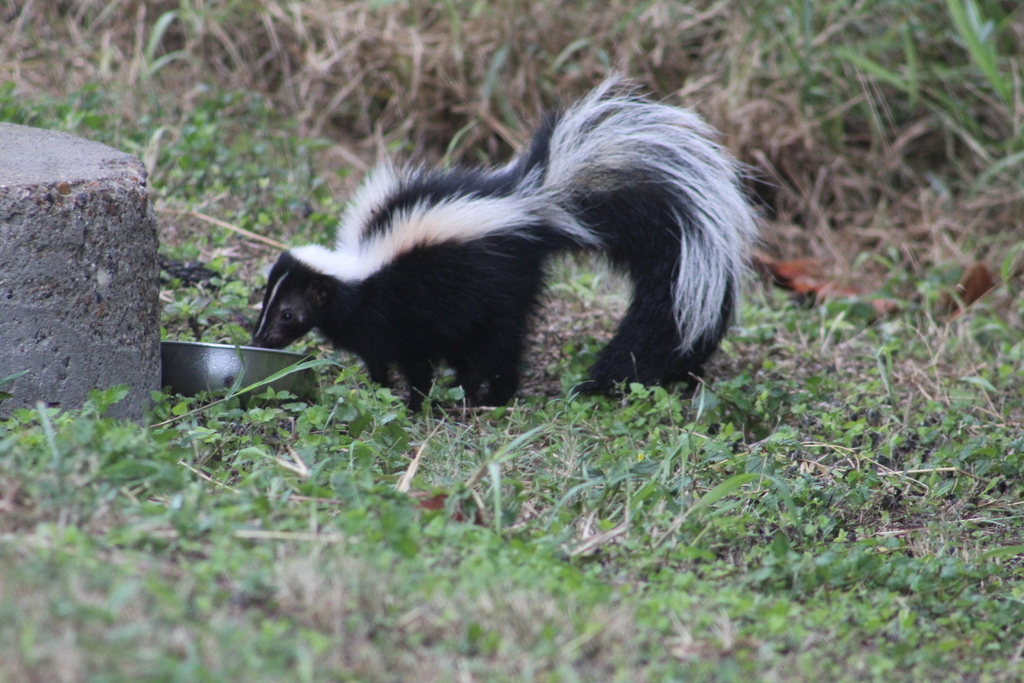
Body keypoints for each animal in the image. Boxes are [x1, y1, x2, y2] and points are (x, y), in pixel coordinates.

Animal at [251, 80, 757, 411]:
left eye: (288, 314)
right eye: (265, 302)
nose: (259, 339)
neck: (359, 271)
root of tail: (534, 202)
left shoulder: (399, 312)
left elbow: (413, 363)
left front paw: (414, 402)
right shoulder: (372, 328)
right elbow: (375, 357)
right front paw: (379, 388)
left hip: (498, 289)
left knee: (500, 345)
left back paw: (491, 397)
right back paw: (470, 390)